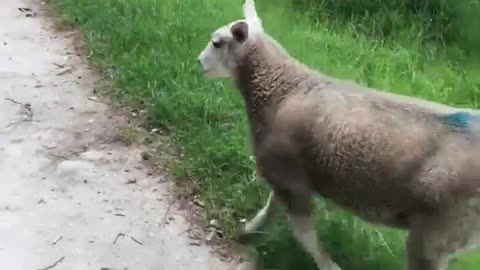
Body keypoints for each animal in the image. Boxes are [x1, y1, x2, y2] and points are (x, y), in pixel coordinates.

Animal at [197, 1, 480, 268]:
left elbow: (304, 234)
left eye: (217, 43)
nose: (199, 61)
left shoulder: (288, 174)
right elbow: (271, 209)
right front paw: (248, 232)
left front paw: (328, 265)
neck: (281, 88)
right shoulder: (289, 175)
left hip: (438, 231)